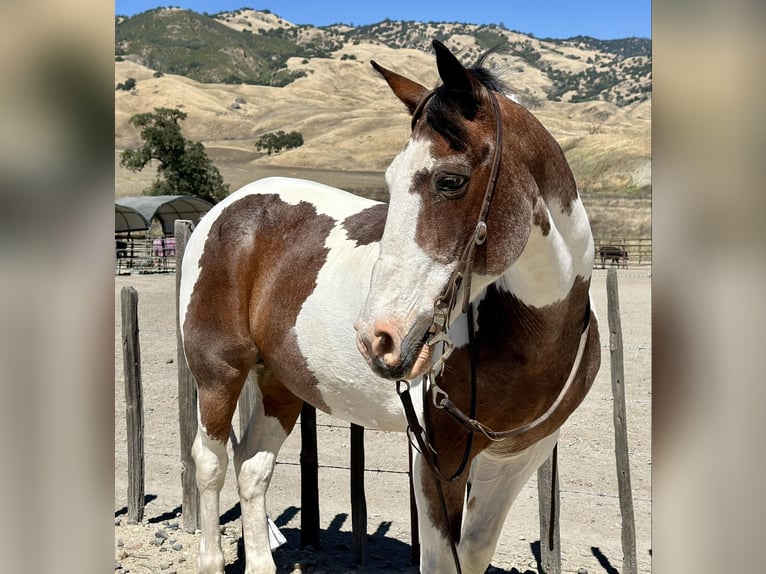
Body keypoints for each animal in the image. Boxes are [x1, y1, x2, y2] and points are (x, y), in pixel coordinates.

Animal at [179, 40, 601, 574]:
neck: (529, 333)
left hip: (278, 381)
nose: (376, 338)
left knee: (253, 468)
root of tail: (227, 207)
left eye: (450, 180)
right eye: (391, 178)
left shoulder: (516, 458)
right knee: (210, 463)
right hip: (219, 373)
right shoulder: (438, 459)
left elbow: (475, 553)